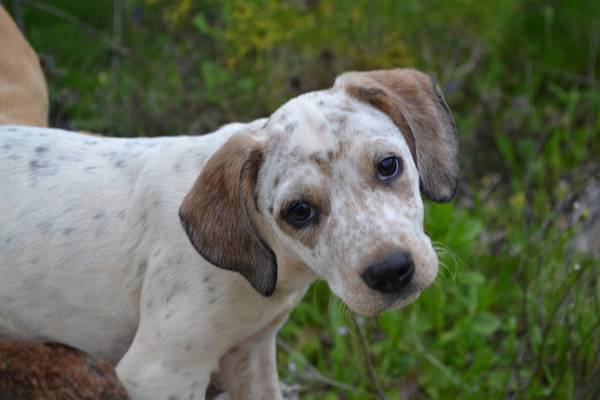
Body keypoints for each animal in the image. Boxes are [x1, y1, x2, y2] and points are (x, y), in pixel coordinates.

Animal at [0, 68, 458, 400]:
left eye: (389, 165)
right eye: (300, 211)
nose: (392, 271)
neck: (266, 264)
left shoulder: (249, 352)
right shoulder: (160, 373)